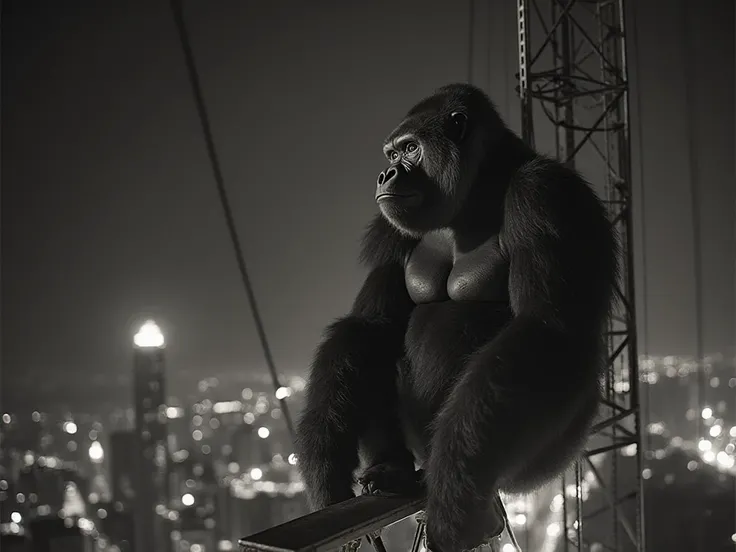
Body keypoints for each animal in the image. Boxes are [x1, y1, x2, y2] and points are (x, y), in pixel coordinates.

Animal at [295, 83, 618, 552]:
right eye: (392, 154)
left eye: (411, 149)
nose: (386, 174)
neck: (477, 190)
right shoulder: (387, 229)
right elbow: (370, 325)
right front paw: (325, 463)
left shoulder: (545, 195)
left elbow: (545, 329)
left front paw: (451, 500)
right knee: (373, 351)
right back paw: (391, 467)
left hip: (543, 460)